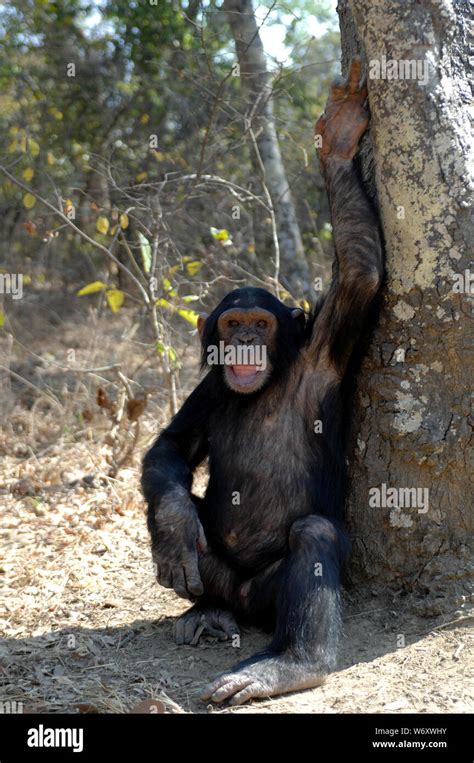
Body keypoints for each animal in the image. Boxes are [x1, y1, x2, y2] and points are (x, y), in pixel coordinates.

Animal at [142, 59, 386, 704]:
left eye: (260, 322)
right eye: (233, 323)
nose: (246, 338)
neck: (271, 382)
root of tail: (248, 603)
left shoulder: (325, 350)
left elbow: (361, 271)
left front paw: (341, 138)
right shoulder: (207, 390)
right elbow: (172, 445)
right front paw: (174, 526)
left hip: (274, 595)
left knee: (314, 538)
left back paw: (290, 664)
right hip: (223, 580)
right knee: (198, 548)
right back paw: (205, 611)